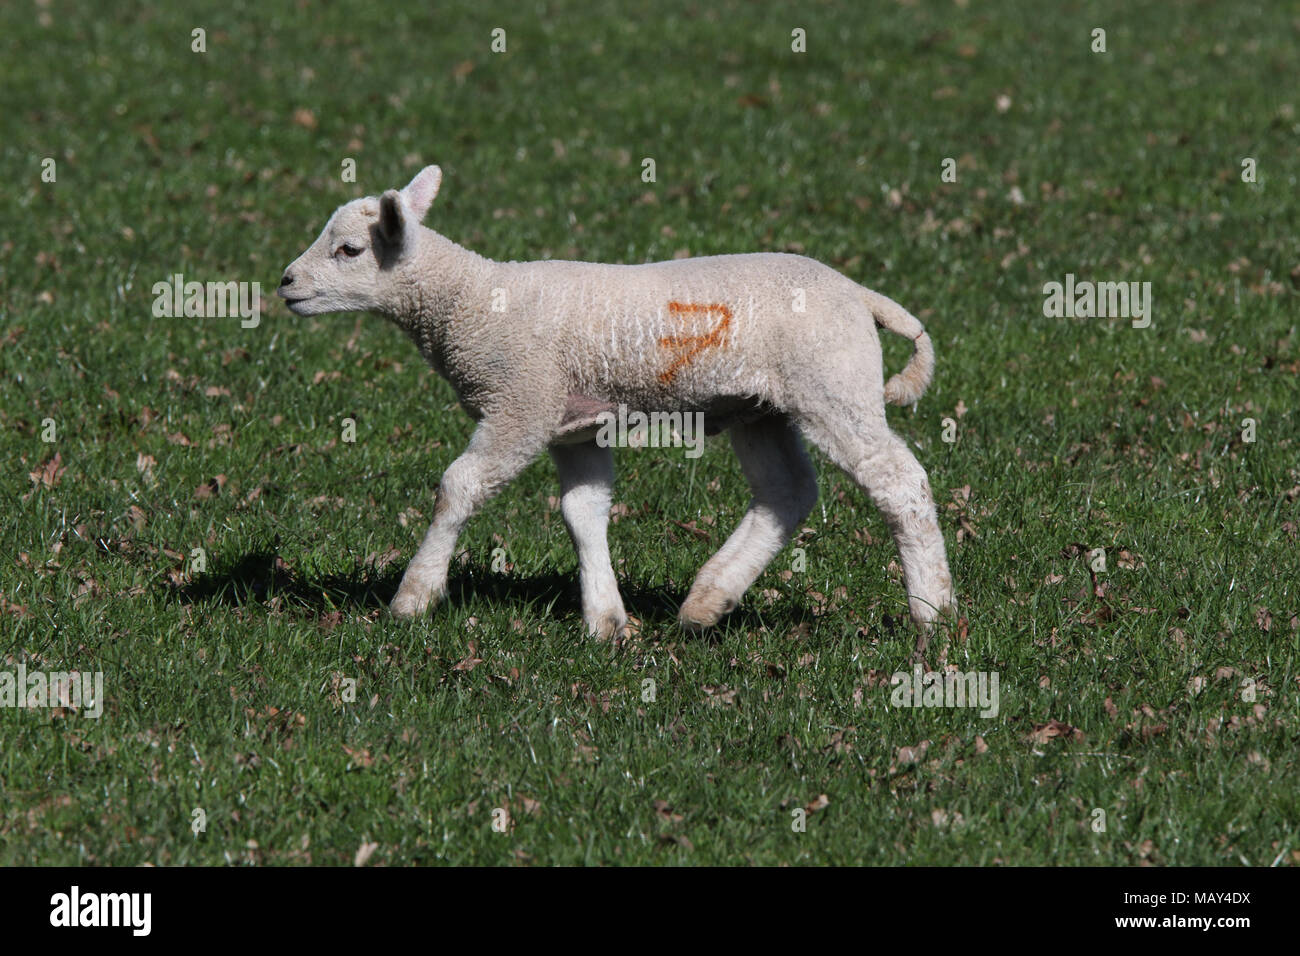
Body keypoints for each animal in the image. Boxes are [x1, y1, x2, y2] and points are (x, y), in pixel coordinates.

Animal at [276, 164, 956, 642]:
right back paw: (707, 601)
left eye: (349, 251)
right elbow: (583, 511)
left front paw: (413, 597)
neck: (469, 299)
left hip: (833, 385)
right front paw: (606, 620)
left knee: (899, 482)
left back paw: (933, 611)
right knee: (785, 492)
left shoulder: (521, 403)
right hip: (761, 406)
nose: (285, 283)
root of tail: (860, 294)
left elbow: (458, 486)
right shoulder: (571, 424)